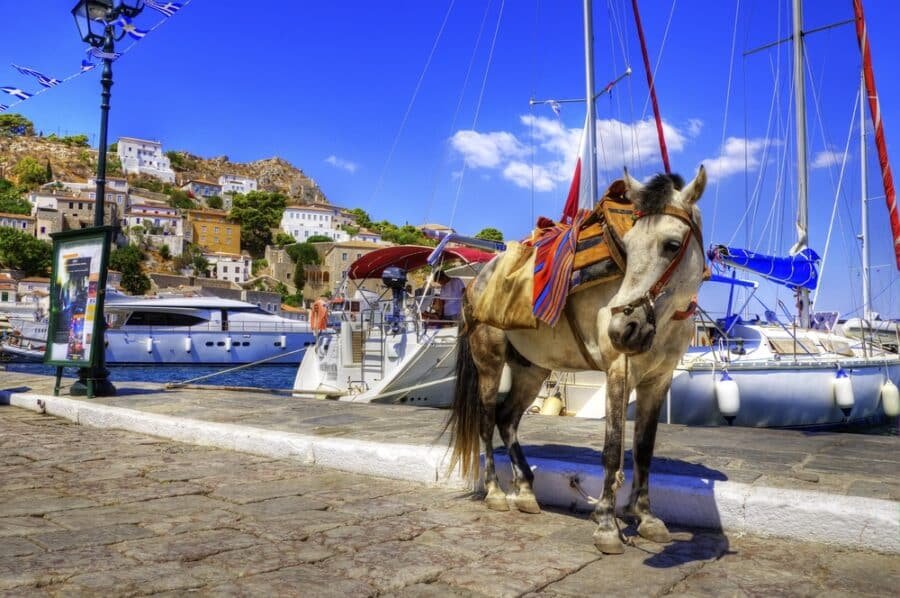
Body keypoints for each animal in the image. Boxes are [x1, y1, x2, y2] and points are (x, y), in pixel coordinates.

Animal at [446, 166, 708, 556]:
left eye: (672, 245)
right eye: (628, 246)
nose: (623, 328)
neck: (668, 317)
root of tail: (474, 282)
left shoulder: (659, 380)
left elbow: (643, 449)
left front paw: (646, 518)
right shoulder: (618, 373)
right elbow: (612, 450)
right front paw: (607, 524)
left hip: (532, 370)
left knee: (508, 420)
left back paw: (525, 491)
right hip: (489, 362)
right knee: (487, 419)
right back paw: (495, 492)